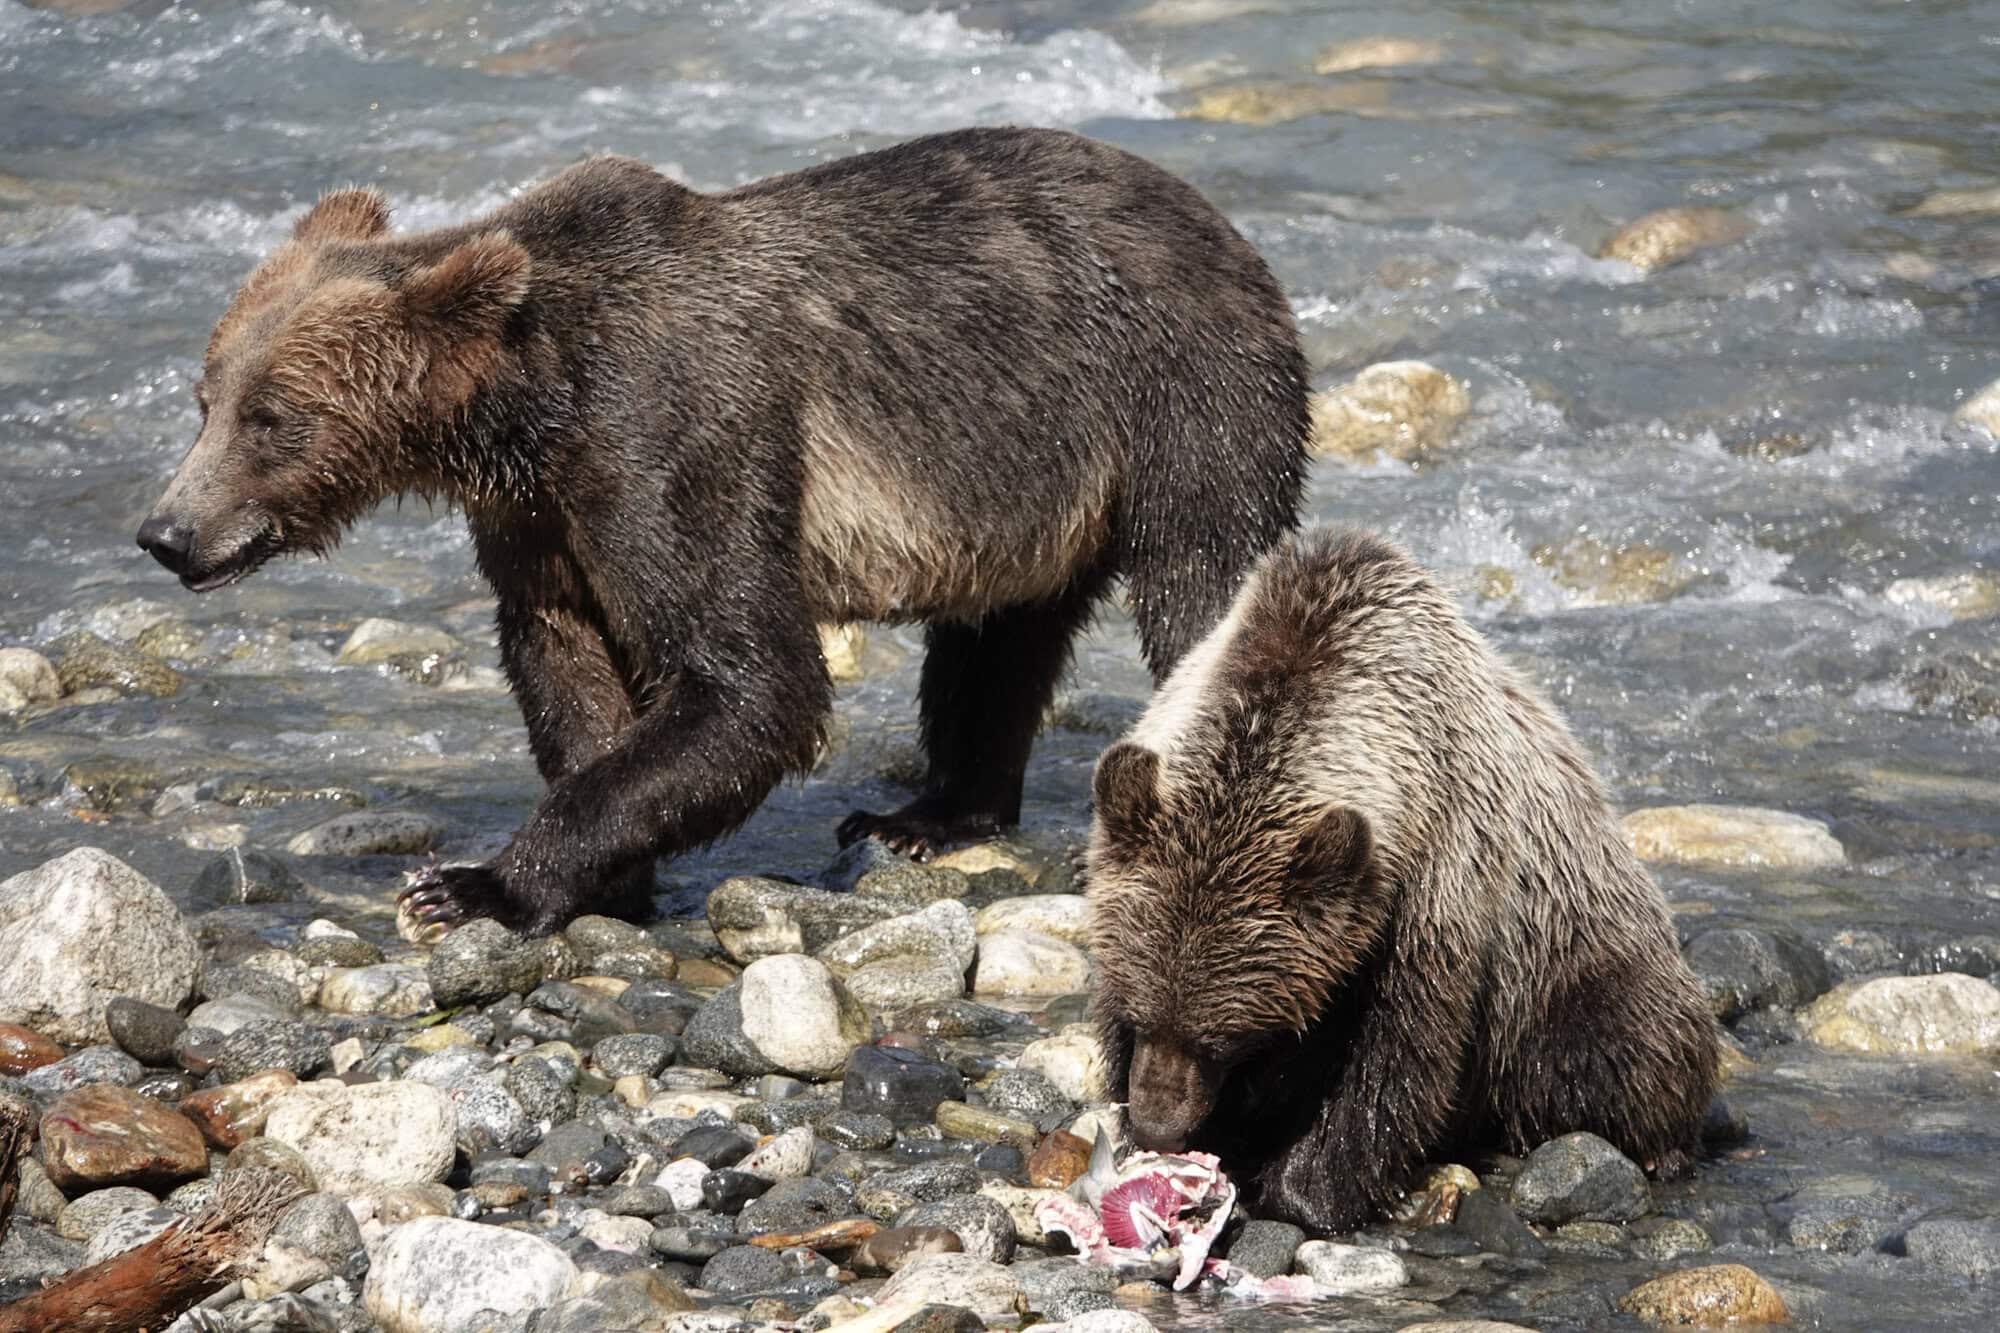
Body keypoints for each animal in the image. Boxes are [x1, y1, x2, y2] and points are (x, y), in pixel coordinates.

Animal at [135, 127, 1309, 935]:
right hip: (1026, 483)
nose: (167, 531)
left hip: (1179, 398)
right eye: (206, 398)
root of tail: (1223, 223)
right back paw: (928, 813)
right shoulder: (540, 513)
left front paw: (475, 885)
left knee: (1202, 592)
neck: (531, 404)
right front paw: (606, 880)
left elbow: (746, 675)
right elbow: (563, 658)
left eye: (273, 416)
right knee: (995, 641)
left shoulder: (674, 436)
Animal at [1085, 528, 1720, 1233]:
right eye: (1142, 1017)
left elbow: (1401, 1054)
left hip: (1575, 958)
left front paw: (1304, 1188)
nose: (1159, 1122)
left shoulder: (1437, 882)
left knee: (1617, 1052)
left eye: (1221, 1039)